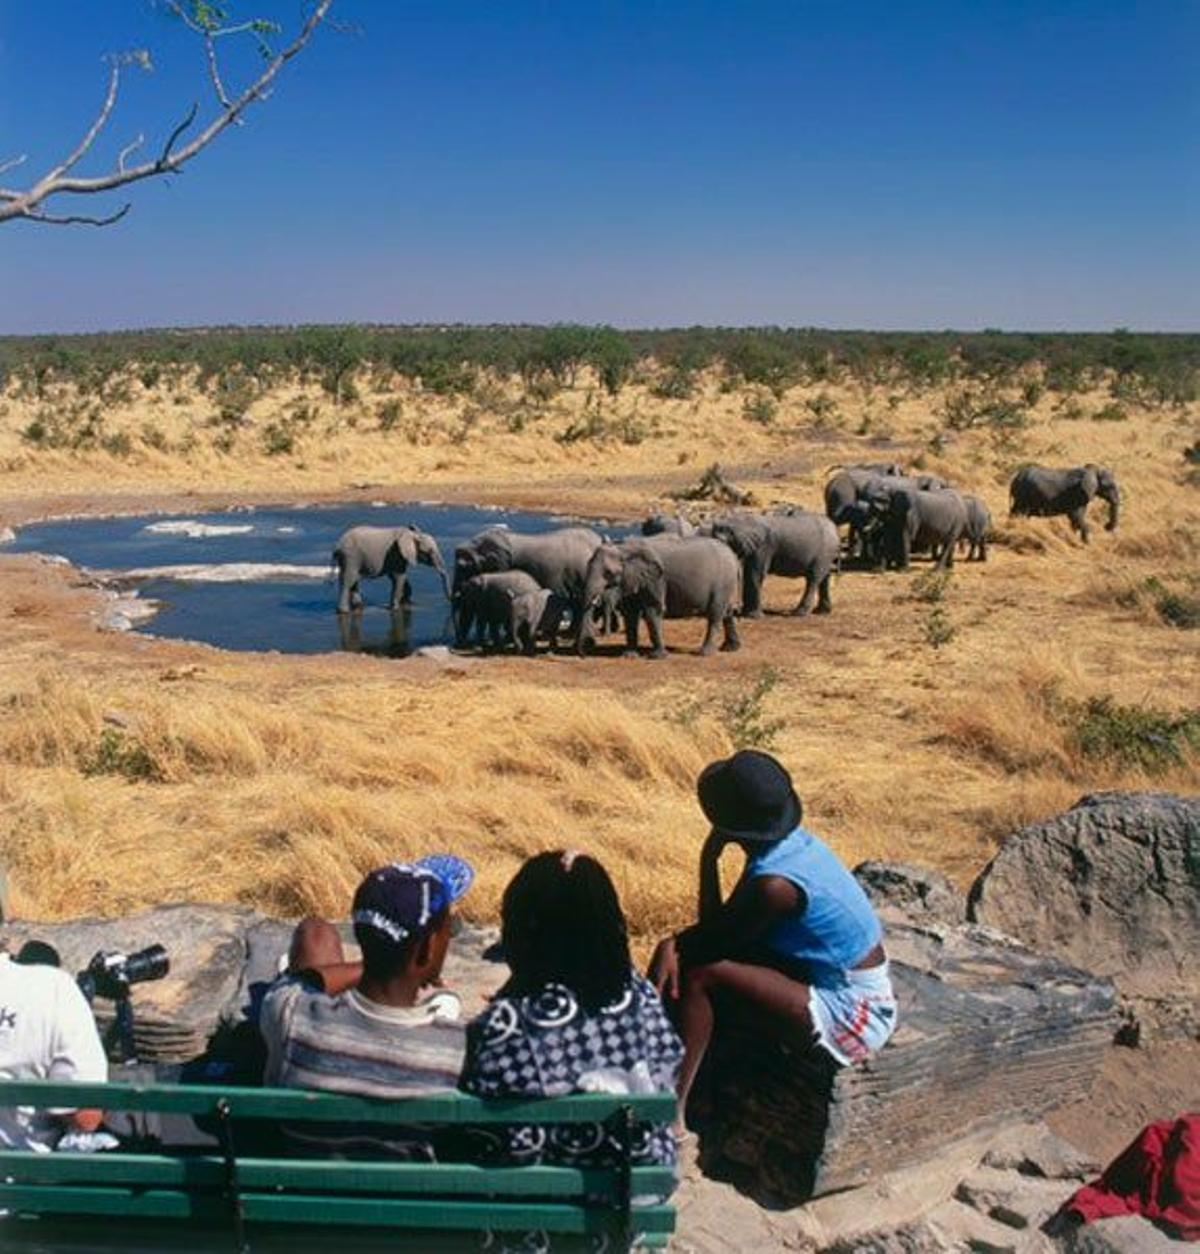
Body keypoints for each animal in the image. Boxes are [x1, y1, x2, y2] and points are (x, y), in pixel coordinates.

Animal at [574, 536, 737, 662]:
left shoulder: (655, 579)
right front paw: (629, 656)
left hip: (722, 583)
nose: (584, 655)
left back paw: (705, 653)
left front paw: (657, 657)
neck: (623, 548)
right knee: (727, 612)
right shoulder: (634, 580)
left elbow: (653, 611)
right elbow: (630, 614)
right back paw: (730, 648)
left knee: (715, 614)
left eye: (608, 573)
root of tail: (732, 554)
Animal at [707, 514, 837, 616]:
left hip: (823, 553)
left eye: (724, 542)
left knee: (813, 579)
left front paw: (753, 616)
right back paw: (822, 612)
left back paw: (799, 613)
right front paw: (746, 613)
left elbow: (755, 573)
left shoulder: (764, 546)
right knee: (825, 578)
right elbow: (749, 572)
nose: (735, 609)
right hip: (827, 554)